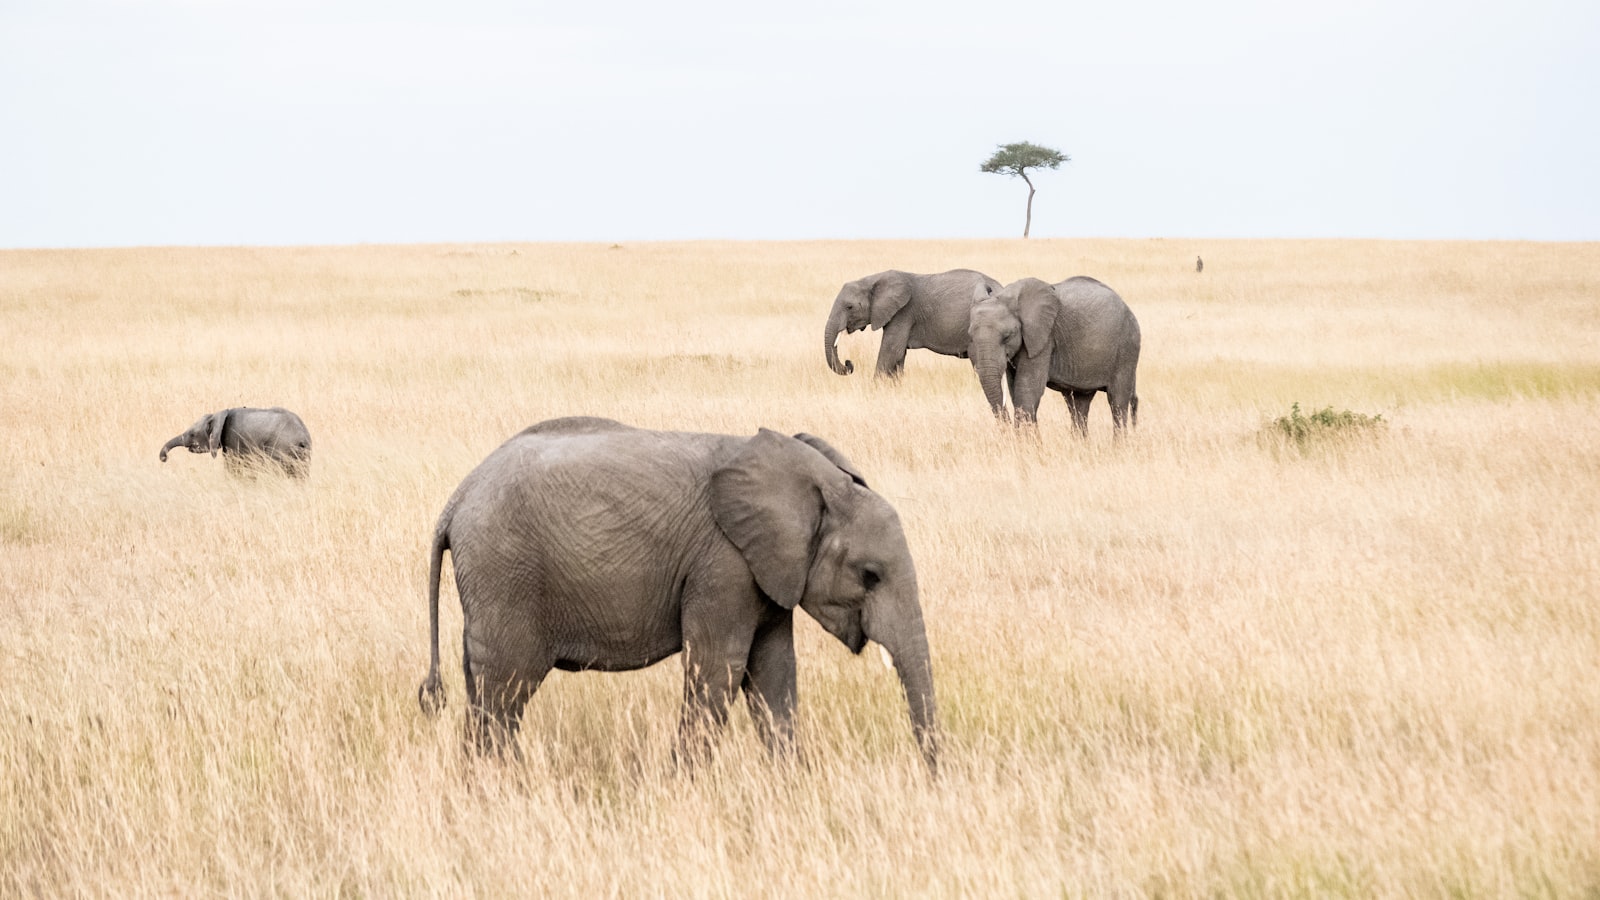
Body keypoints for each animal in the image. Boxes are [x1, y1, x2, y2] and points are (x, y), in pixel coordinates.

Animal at [159, 407, 311, 477]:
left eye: (192, 434)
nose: (164, 459)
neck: (217, 414)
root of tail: (302, 437)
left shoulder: (233, 438)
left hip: (280, 448)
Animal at [417, 416, 939, 773]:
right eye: (870, 575)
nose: (933, 776)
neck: (813, 480)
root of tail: (455, 501)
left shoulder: (768, 572)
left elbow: (774, 674)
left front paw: (791, 783)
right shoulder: (724, 564)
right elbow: (719, 670)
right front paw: (685, 788)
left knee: (485, 689)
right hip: (505, 576)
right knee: (505, 690)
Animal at [824, 268, 1002, 378]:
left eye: (849, 307)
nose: (849, 363)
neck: (872, 280)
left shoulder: (903, 313)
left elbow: (891, 352)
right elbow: (899, 356)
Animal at [967, 276, 1141, 435]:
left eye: (1007, 336)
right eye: (970, 336)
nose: (1007, 430)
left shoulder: (1044, 337)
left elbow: (1028, 389)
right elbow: (1015, 390)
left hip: (1127, 348)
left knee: (1117, 402)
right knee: (1079, 403)